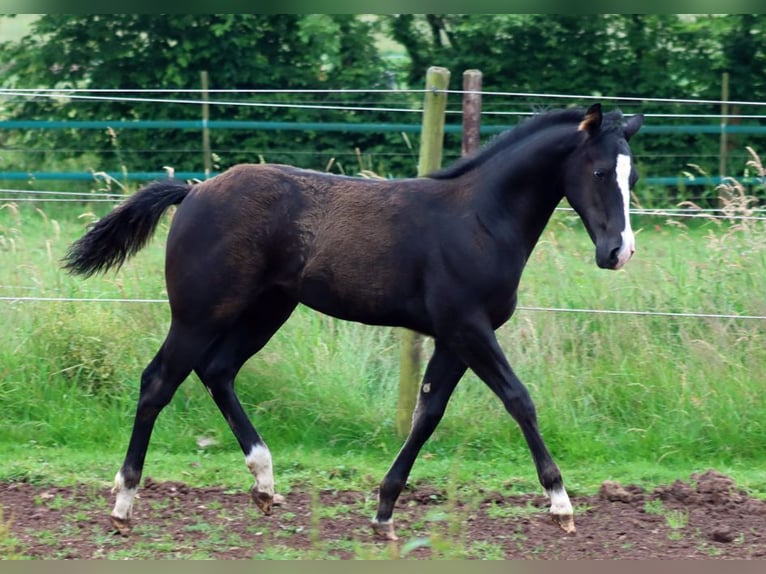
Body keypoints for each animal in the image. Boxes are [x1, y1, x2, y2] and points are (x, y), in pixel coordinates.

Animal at [63, 103, 643, 540]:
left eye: (631, 175)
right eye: (598, 172)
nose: (619, 253)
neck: (480, 218)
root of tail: (195, 190)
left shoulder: (453, 338)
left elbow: (428, 413)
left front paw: (384, 513)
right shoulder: (468, 327)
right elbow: (519, 399)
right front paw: (562, 504)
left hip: (268, 309)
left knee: (218, 371)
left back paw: (264, 483)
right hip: (200, 314)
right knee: (158, 381)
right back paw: (123, 503)